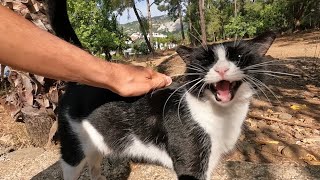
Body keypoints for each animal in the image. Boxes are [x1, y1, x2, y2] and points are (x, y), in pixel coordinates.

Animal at [58, 31, 276, 179]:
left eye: (238, 57)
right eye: (205, 61)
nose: (221, 69)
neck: (222, 117)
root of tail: (76, 84)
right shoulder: (190, 160)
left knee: (94, 166)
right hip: (72, 147)